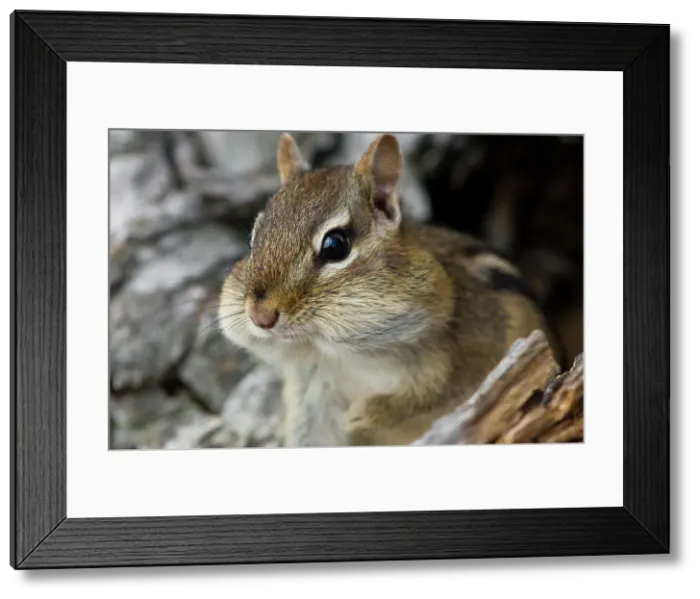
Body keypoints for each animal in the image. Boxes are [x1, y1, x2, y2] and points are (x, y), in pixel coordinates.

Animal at [218, 132, 566, 447]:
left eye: (335, 245)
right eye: (253, 238)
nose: (260, 316)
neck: (339, 356)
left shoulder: (455, 360)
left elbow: (426, 397)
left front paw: (366, 413)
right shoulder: (311, 398)